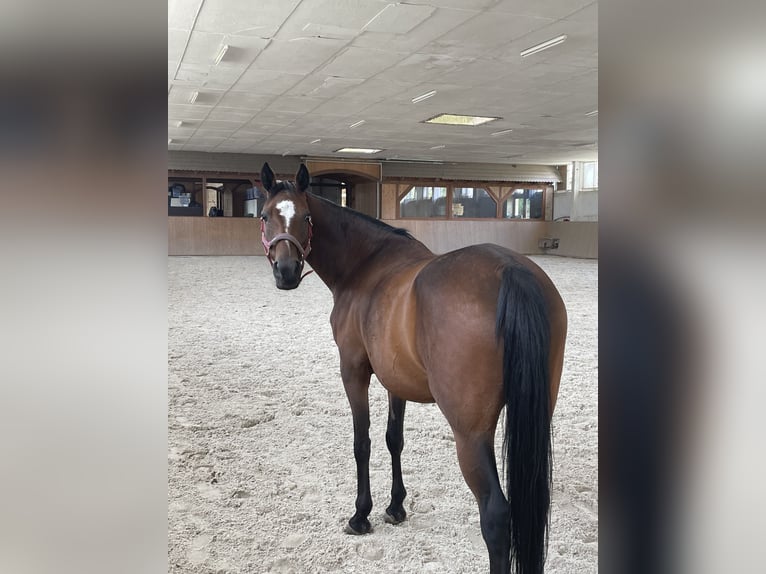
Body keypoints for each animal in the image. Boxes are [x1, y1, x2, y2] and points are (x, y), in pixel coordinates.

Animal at [260, 163, 568, 574]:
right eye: (266, 216)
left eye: (306, 217)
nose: (287, 272)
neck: (366, 266)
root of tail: (510, 271)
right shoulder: (396, 379)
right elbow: (395, 439)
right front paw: (396, 507)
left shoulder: (353, 371)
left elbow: (362, 442)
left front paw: (361, 515)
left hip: (470, 435)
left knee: (496, 514)